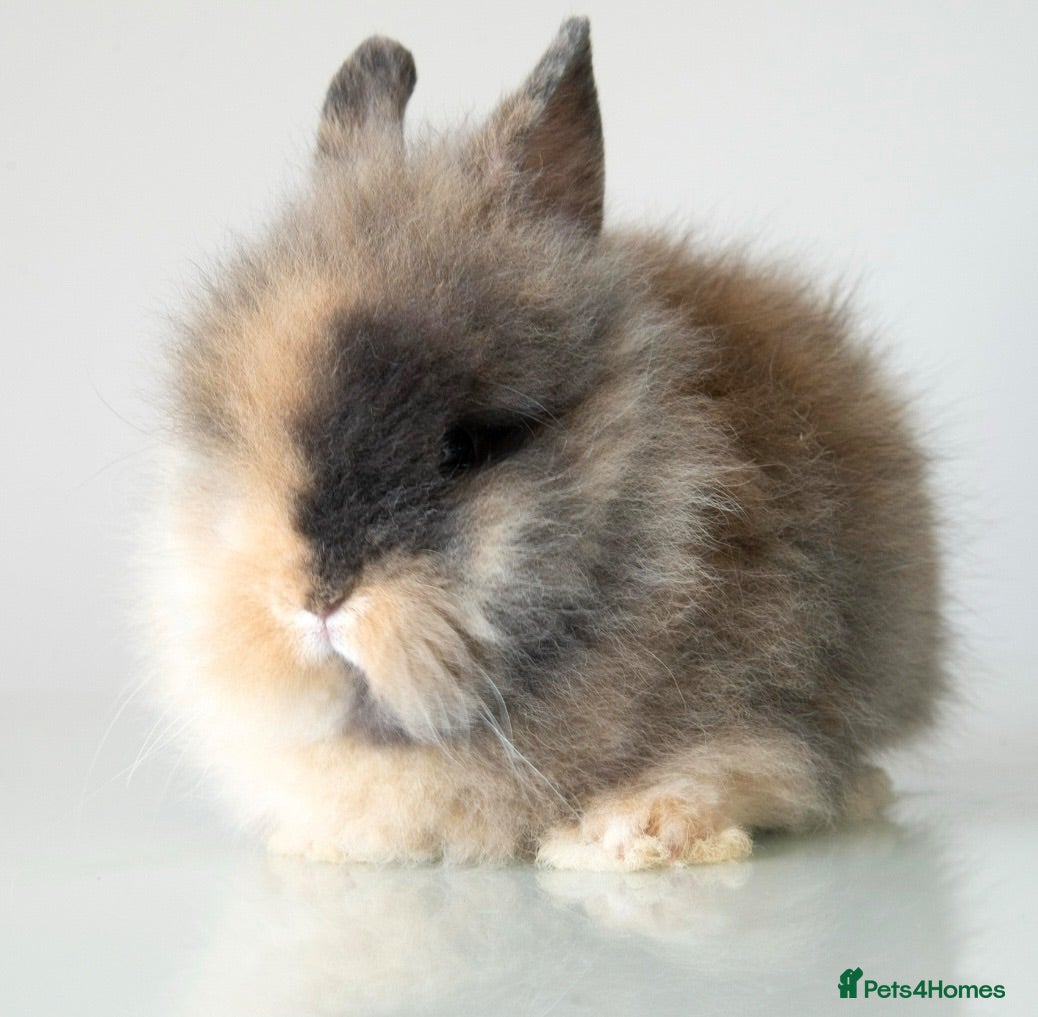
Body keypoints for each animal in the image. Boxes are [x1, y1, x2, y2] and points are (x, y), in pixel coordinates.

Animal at [150, 18, 944, 870]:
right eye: (241, 431)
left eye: (461, 448)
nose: (317, 598)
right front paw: (328, 843)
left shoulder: (766, 704)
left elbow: (735, 763)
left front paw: (633, 836)